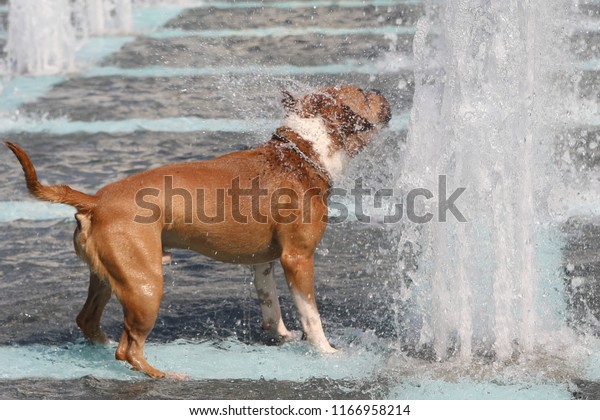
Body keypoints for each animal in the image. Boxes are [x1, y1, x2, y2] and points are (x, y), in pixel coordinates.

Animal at [7, 85, 392, 378]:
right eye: (363, 94)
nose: (380, 90)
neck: (300, 153)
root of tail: (96, 201)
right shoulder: (298, 259)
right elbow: (311, 315)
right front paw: (327, 353)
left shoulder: (263, 262)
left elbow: (270, 301)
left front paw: (281, 335)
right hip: (146, 285)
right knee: (129, 348)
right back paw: (164, 375)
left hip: (109, 275)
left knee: (89, 319)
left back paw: (103, 349)